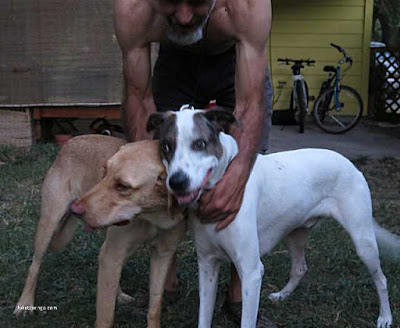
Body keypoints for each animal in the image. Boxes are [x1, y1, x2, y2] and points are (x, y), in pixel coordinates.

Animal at [14, 135, 186, 328]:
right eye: (104, 172)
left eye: (123, 186)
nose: (75, 210)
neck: (153, 215)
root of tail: (70, 141)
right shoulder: (113, 253)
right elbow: (105, 316)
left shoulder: (162, 254)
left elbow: (154, 308)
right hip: (49, 225)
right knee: (34, 266)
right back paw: (25, 303)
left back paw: (119, 295)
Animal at [146, 106, 396, 328]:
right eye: (166, 146)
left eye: (199, 144)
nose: (177, 182)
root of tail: (349, 163)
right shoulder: (207, 265)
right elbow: (204, 318)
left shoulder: (251, 272)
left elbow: (247, 321)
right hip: (294, 233)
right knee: (300, 268)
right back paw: (282, 295)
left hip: (363, 241)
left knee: (382, 279)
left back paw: (385, 317)